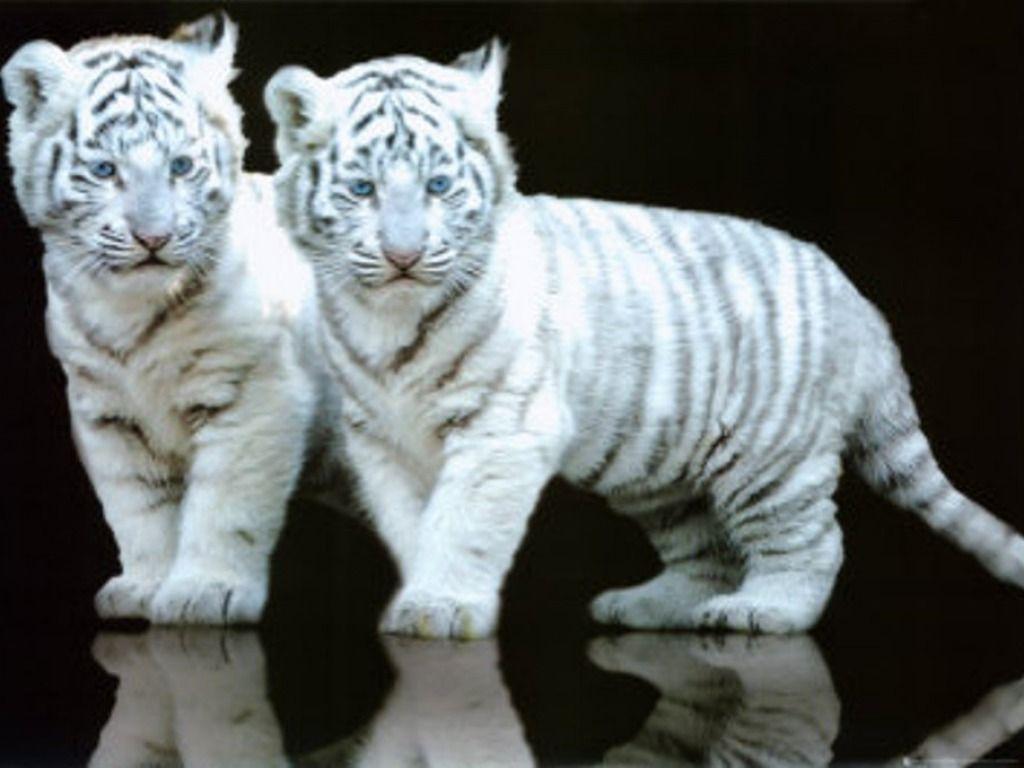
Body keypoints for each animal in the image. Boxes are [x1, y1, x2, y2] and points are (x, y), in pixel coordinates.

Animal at [2, 13, 337, 625]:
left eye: (181, 166)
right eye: (105, 170)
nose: (153, 238)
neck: (129, 311)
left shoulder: (254, 392)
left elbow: (224, 501)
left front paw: (207, 592)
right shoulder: (105, 411)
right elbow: (137, 505)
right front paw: (144, 585)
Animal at [264, 41, 1024, 638]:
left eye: (440, 186)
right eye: (362, 190)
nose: (404, 255)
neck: (385, 317)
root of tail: (860, 303)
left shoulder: (502, 429)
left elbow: (466, 522)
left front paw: (441, 607)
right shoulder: (382, 439)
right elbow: (412, 523)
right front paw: (420, 595)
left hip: (772, 458)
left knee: (812, 542)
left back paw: (766, 611)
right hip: (661, 470)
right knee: (706, 553)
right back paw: (646, 606)